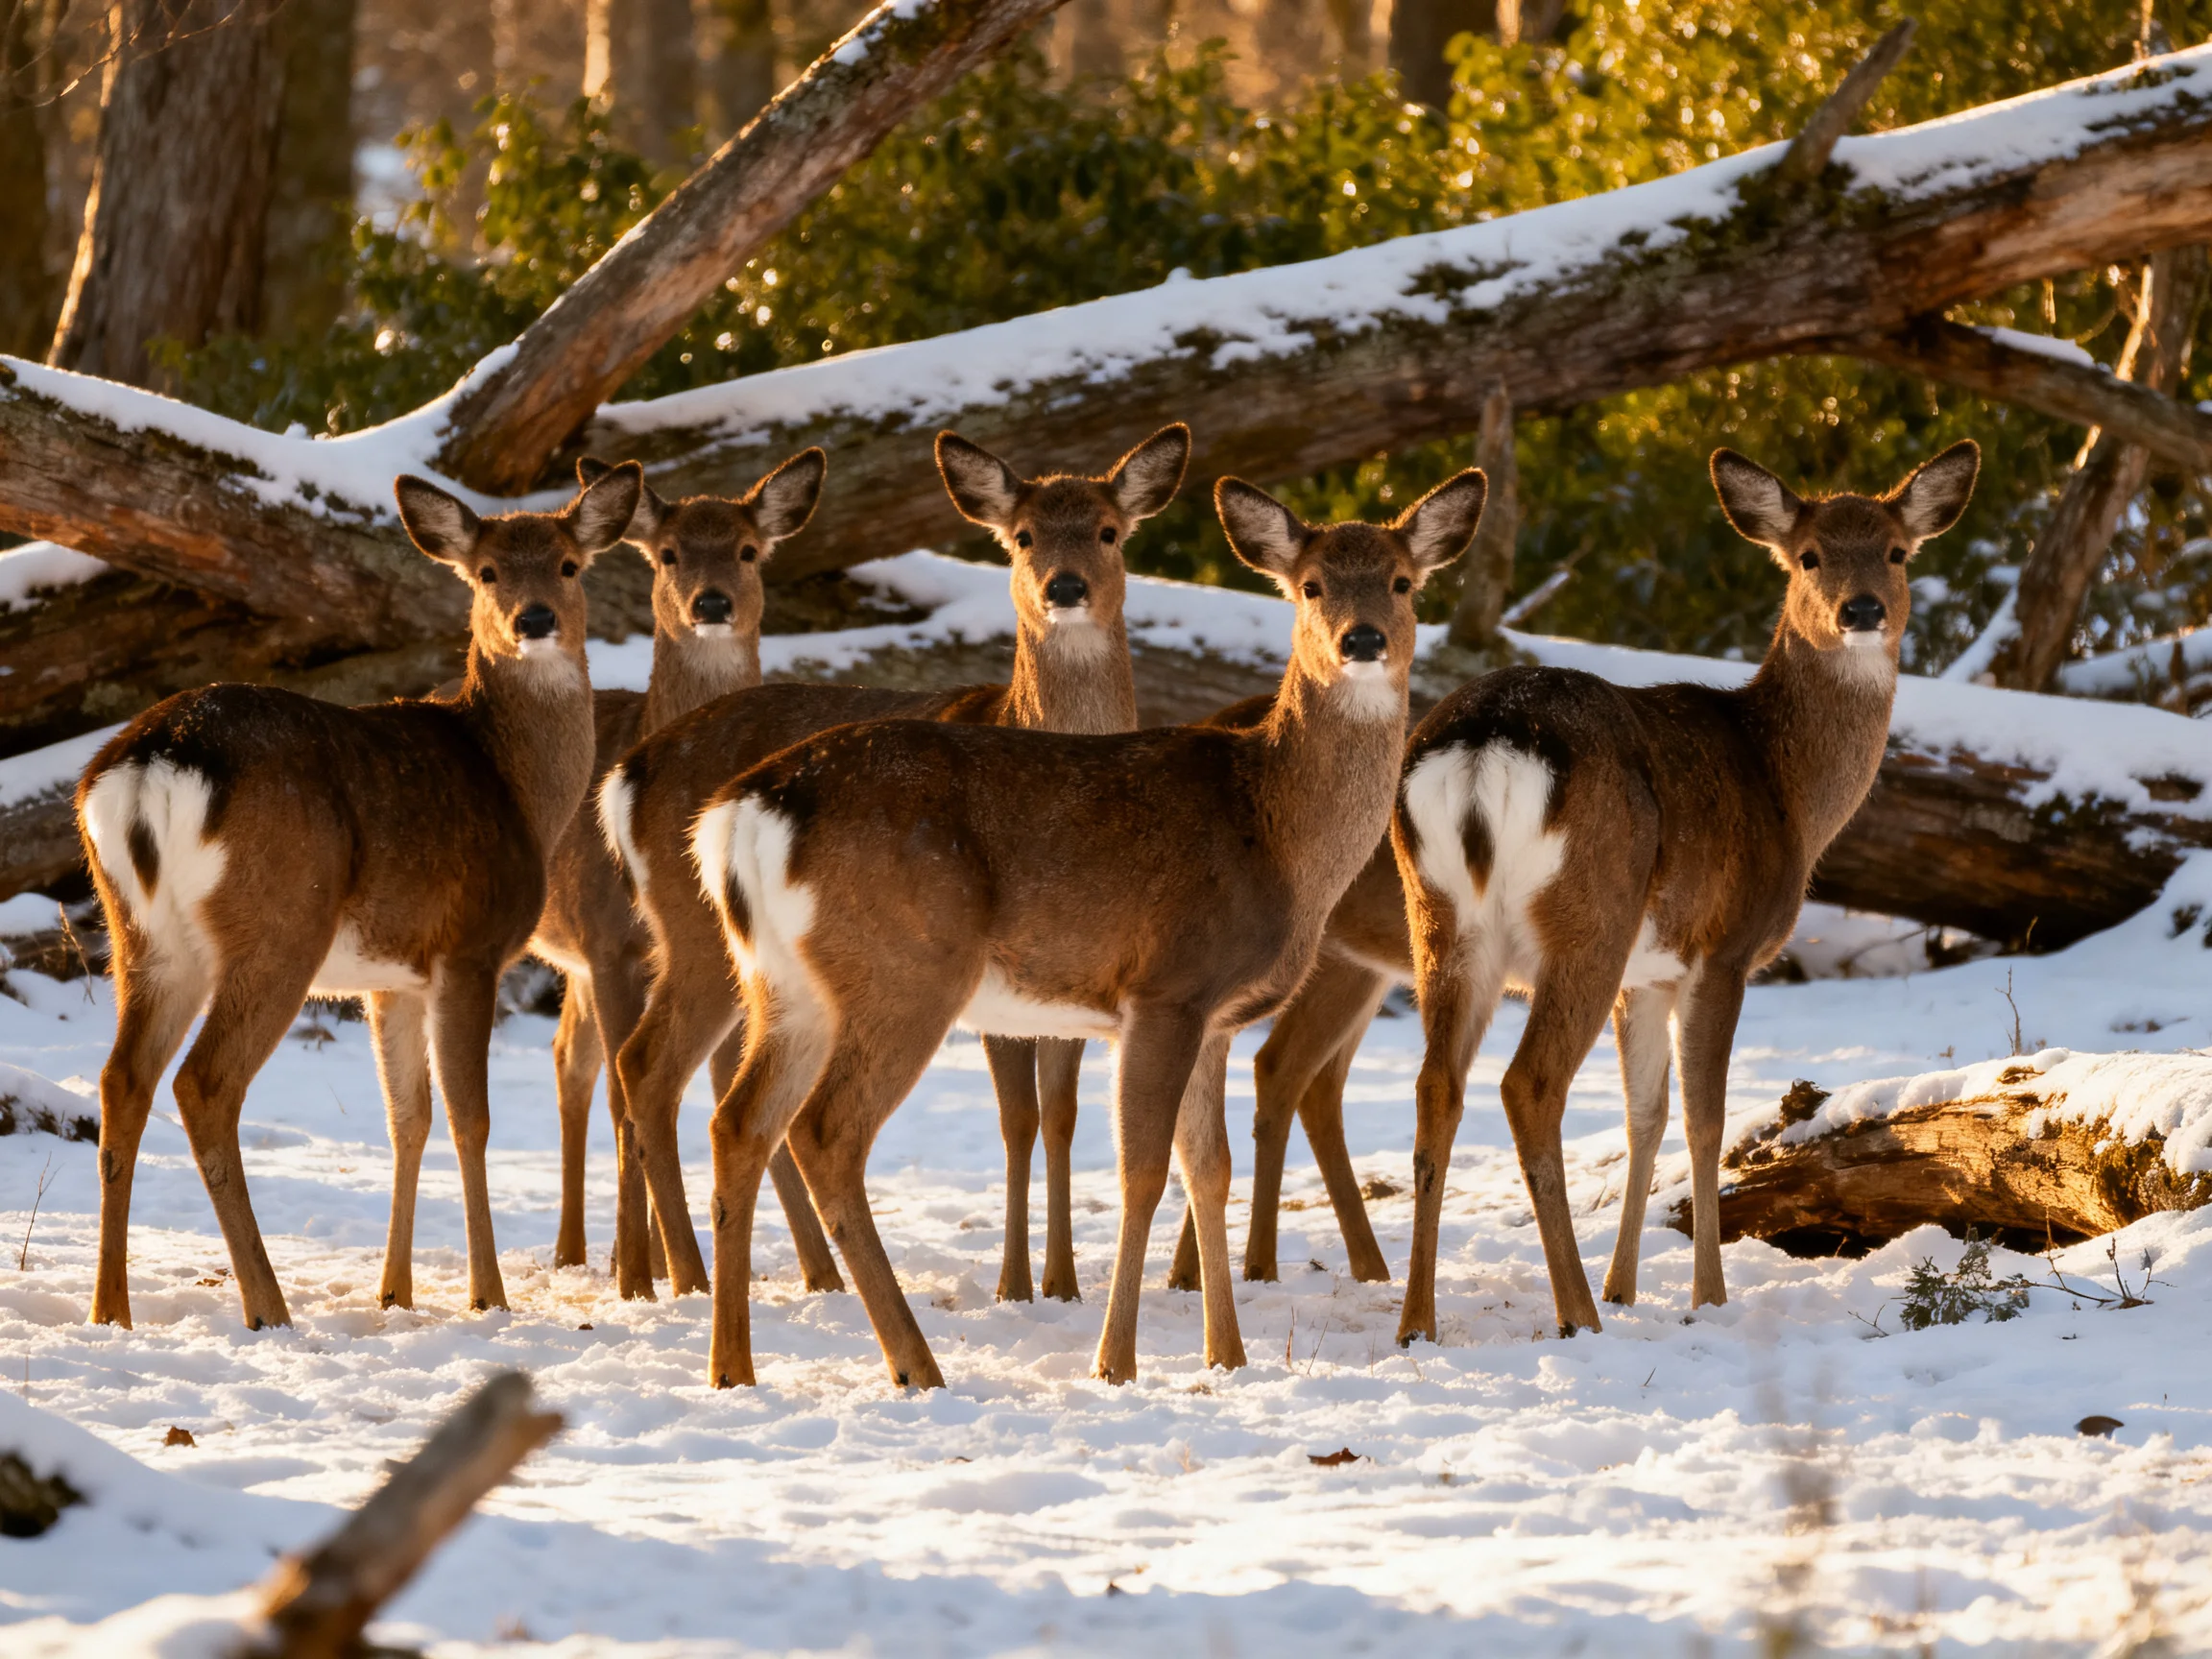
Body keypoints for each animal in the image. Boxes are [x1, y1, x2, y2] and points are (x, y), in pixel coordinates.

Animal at [78, 463, 644, 1331]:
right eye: (487, 572)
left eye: (568, 565)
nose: (535, 619)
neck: (515, 785)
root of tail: (152, 761)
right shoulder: (470, 948)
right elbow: (470, 1118)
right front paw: (488, 1294)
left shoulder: (390, 977)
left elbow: (406, 1117)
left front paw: (395, 1291)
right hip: (280, 921)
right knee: (203, 1084)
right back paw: (267, 1304)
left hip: (142, 935)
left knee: (123, 1081)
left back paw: (111, 1308)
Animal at [529, 449, 826, 1278]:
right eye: (667, 554)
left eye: (749, 550)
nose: (711, 602)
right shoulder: (610, 944)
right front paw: (643, 1272)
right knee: (583, 1074)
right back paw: (596, 1257)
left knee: (571, 1060)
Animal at [597, 426, 1191, 1303]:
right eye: (1023, 536)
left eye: (1110, 531)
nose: (1066, 587)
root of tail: (626, 773)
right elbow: (1017, 1118)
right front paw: (1016, 1285)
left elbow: (1060, 1113)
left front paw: (1061, 1283)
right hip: (697, 931)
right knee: (648, 1065)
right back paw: (690, 1277)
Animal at [687, 468, 1485, 1390]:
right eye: (1311, 585)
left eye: (1402, 582)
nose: (1362, 639)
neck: (1272, 826)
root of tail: (741, 810)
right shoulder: (1165, 988)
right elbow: (1144, 1171)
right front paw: (1117, 1361)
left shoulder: (1215, 1016)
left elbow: (1208, 1169)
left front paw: (1228, 1356)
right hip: (905, 967)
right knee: (824, 1132)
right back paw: (916, 1365)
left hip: (783, 982)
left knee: (738, 1123)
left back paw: (734, 1367)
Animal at [1389, 441, 1978, 1347]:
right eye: (1809, 556)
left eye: (1896, 551)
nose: (1862, 609)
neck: (1787, 787)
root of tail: (1486, 740)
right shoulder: (1724, 949)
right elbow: (1707, 1122)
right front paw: (1706, 1295)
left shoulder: (1651, 972)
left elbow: (1647, 1116)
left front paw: (1630, 1283)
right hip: (1588, 914)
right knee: (1528, 1086)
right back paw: (1576, 1313)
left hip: (1440, 921)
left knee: (1435, 1088)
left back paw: (1419, 1321)